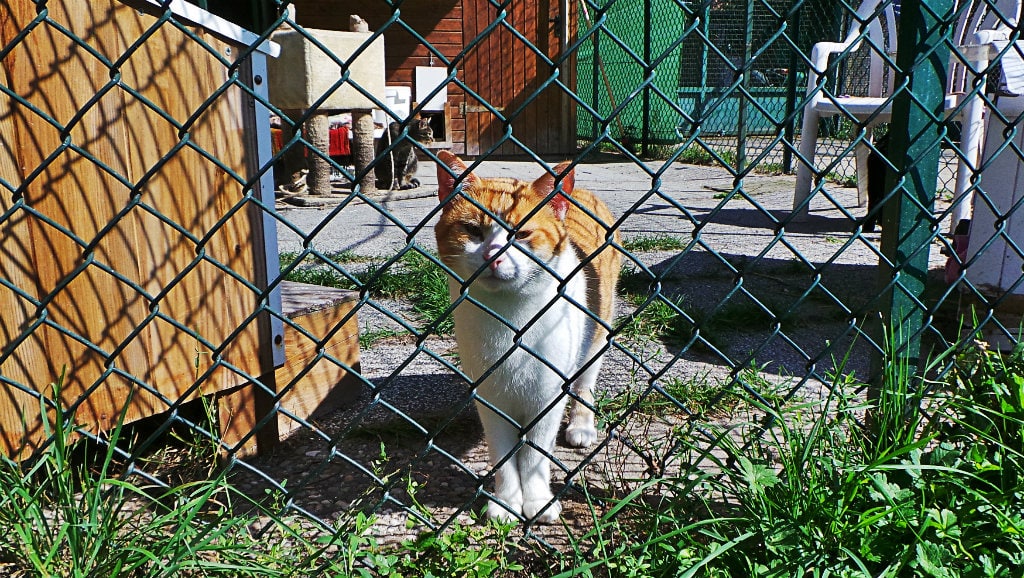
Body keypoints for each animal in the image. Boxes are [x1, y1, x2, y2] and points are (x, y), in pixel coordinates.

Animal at [434, 150, 622, 524]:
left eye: (520, 234)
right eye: (473, 230)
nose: (493, 255)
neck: (511, 321)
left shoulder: (548, 396)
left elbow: (535, 455)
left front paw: (538, 501)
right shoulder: (489, 397)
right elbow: (504, 456)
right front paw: (507, 502)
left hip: (596, 335)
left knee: (584, 384)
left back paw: (581, 426)